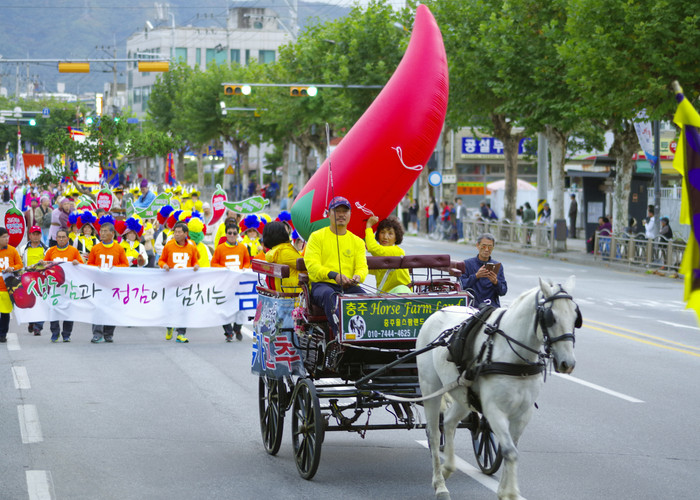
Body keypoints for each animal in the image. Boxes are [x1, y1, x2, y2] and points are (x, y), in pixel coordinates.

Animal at [416, 277, 581, 500]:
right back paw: (440, 484)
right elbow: (510, 451)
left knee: (449, 422)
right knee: (433, 433)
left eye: (575, 316)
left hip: (463, 395)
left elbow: (510, 450)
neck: (514, 356)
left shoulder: (522, 413)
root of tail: (437, 312)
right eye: (550, 318)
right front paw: (510, 492)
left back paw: (448, 467)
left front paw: (505, 491)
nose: (567, 363)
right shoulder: (494, 410)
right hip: (430, 388)